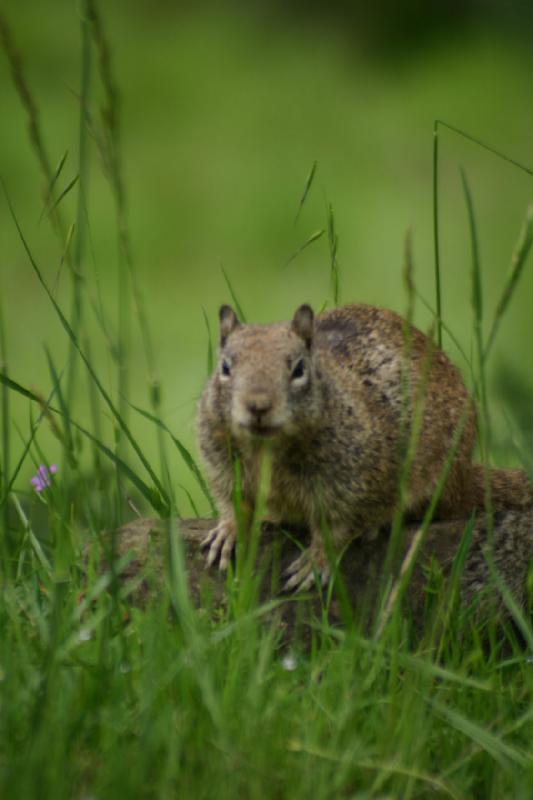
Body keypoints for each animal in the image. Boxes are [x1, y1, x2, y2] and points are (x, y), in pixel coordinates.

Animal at [196, 304, 532, 592]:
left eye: (299, 369)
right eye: (225, 366)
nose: (258, 405)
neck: (267, 448)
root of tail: (464, 475)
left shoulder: (355, 485)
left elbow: (337, 526)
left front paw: (316, 561)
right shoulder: (223, 468)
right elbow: (232, 502)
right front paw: (227, 531)